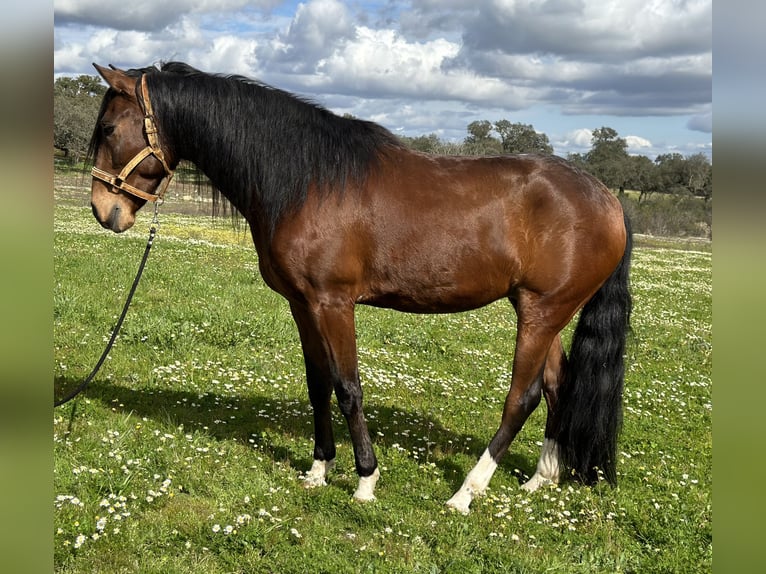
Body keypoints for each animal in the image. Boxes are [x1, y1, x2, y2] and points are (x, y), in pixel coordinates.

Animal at [87, 60, 632, 516]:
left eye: (109, 128)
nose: (103, 211)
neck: (308, 181)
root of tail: (607, 197)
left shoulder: (334, 304)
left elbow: (349, 387)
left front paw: (365, 480)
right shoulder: (302, 305)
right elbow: (318, 385)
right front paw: (318, 469)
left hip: (542, 313)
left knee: (522, 398)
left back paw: (466, 492)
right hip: (542, 312)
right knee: (558, 386)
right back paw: (541, 478)